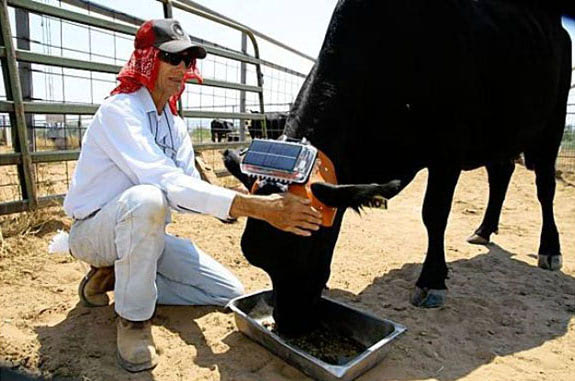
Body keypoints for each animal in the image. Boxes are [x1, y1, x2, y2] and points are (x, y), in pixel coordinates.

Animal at [224, 0, 572, 334]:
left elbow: (434, 214)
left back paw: (550, 249)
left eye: (307, 248)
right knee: (501, 175)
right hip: (499, 136)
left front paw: (432, 281)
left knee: (545, 187)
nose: (288, 324)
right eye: (257, 258)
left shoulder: (448, 151)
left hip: (550, 127)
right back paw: (484, 230)